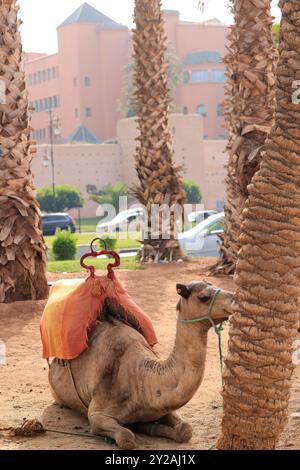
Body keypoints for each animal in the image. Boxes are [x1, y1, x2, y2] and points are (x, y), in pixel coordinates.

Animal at [48, 280, 232, 450]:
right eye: (204, 297)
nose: (233, 297)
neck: (139, 379)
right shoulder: (97, 413)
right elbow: (126, 437)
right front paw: (137, 427)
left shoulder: (162, 407)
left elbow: (185, 430)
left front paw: (148, 426)